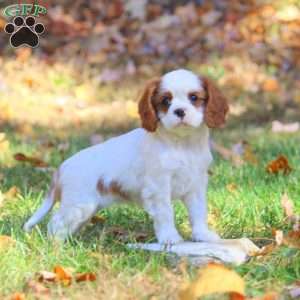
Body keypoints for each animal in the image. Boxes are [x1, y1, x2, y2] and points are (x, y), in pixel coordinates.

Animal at [24, 68, 230, 244]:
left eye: (194, 97)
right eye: (166, 101)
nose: (179, 111)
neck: (182, 144)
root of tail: (62, 167)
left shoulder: (196, 184)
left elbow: (198, 212)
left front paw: (202, 235)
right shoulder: (158, 187)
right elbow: (165, 212)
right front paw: (170, 238)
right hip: (78, 204)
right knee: (56, 223)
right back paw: (56, 247)